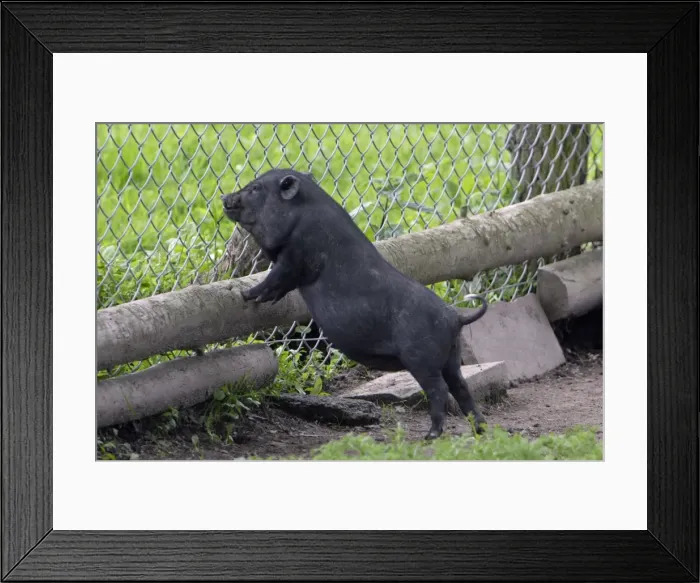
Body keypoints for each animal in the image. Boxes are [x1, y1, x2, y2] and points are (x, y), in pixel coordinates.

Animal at [221, 168, 488, 439]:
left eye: (255, 188)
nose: (224, 196)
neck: (300, 215)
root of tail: (454, 317)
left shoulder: (297, 257)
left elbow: (276, 277)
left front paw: (245, 295)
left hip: (422, 356)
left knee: (440, 390)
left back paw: (431, 435)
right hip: (451, 356)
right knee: (461, 387)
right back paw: (480, 431)